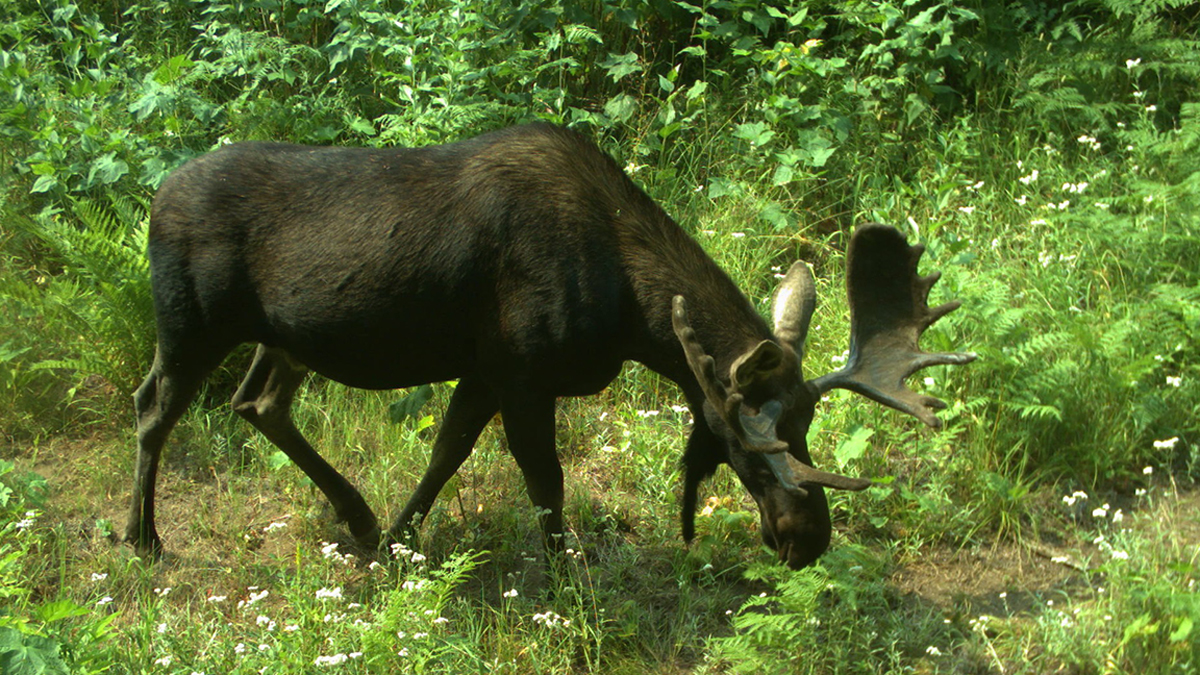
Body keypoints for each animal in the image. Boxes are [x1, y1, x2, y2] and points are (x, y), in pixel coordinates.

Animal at [126, 123, 974, 569]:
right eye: (750, 444)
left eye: (808, 427)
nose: (810, 538)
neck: (631, 310)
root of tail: (153, 197)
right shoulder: (521, 368)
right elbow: (546, 482)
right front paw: (567, 581)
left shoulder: (484, 368)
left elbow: (447, 452)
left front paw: (398, 542)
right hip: (190, 323)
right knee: (153, 406)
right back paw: (143, 539)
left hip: (283, 337)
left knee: (256, 401)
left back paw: (358, 518)